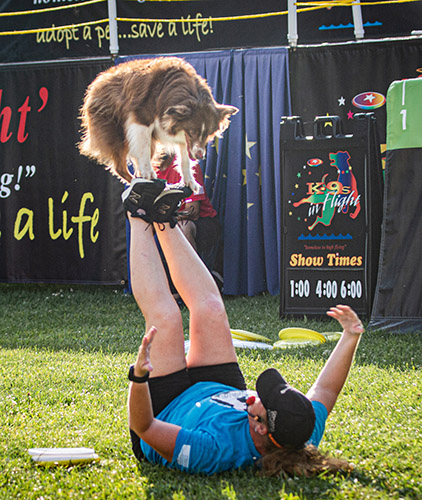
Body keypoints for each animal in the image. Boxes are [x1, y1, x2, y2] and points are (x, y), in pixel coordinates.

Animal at [78, 56, 237, 191]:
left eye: (208, 134)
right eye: (193, 132)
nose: (199, 156)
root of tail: (99, 80)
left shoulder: (183, 137)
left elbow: (185, 159)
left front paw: (189, 181)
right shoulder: (141, 119)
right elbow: (143, 147)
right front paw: (149, 173)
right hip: (114, 131)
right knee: (120, 166)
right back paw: (138, 182)